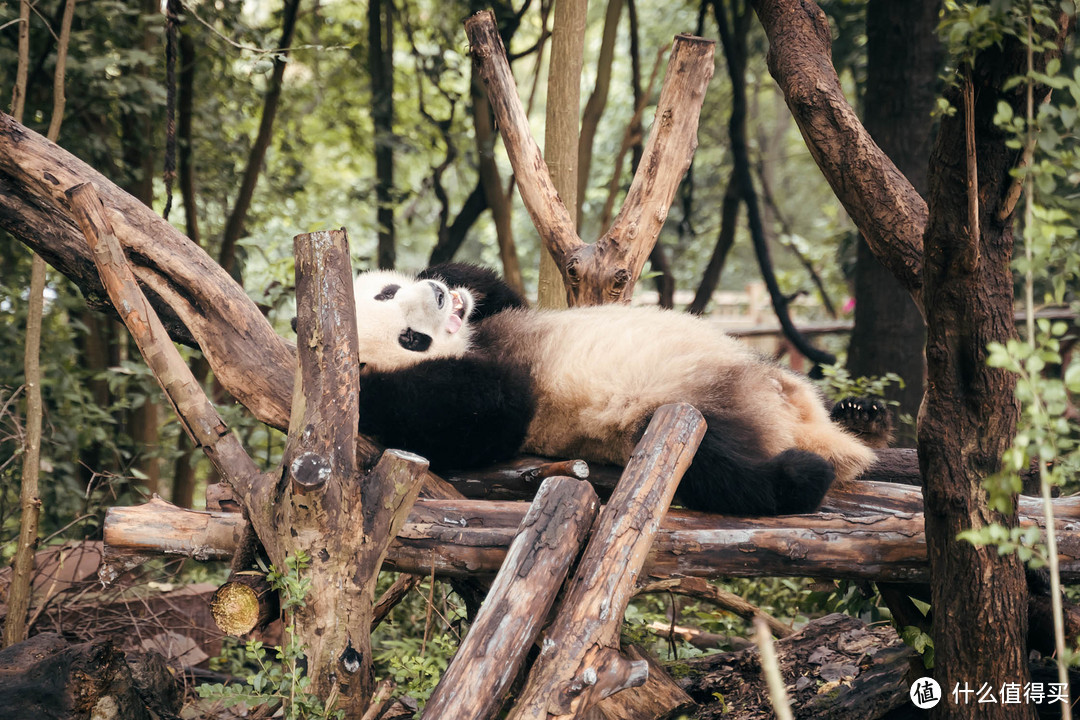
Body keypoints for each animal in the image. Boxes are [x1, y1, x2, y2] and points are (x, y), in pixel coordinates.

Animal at [354, 262, 885, 515]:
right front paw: (370, 394)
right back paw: (804, 474)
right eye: (411, 339)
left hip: (771, 374)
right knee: (720, 466)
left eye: (387, 292)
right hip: (677, 416)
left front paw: (450, 274)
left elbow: (502, 292)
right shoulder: (487, 399)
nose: (440, 297)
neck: (473, 341)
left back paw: (863, 416)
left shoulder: (500, 316)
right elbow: (488, 409)